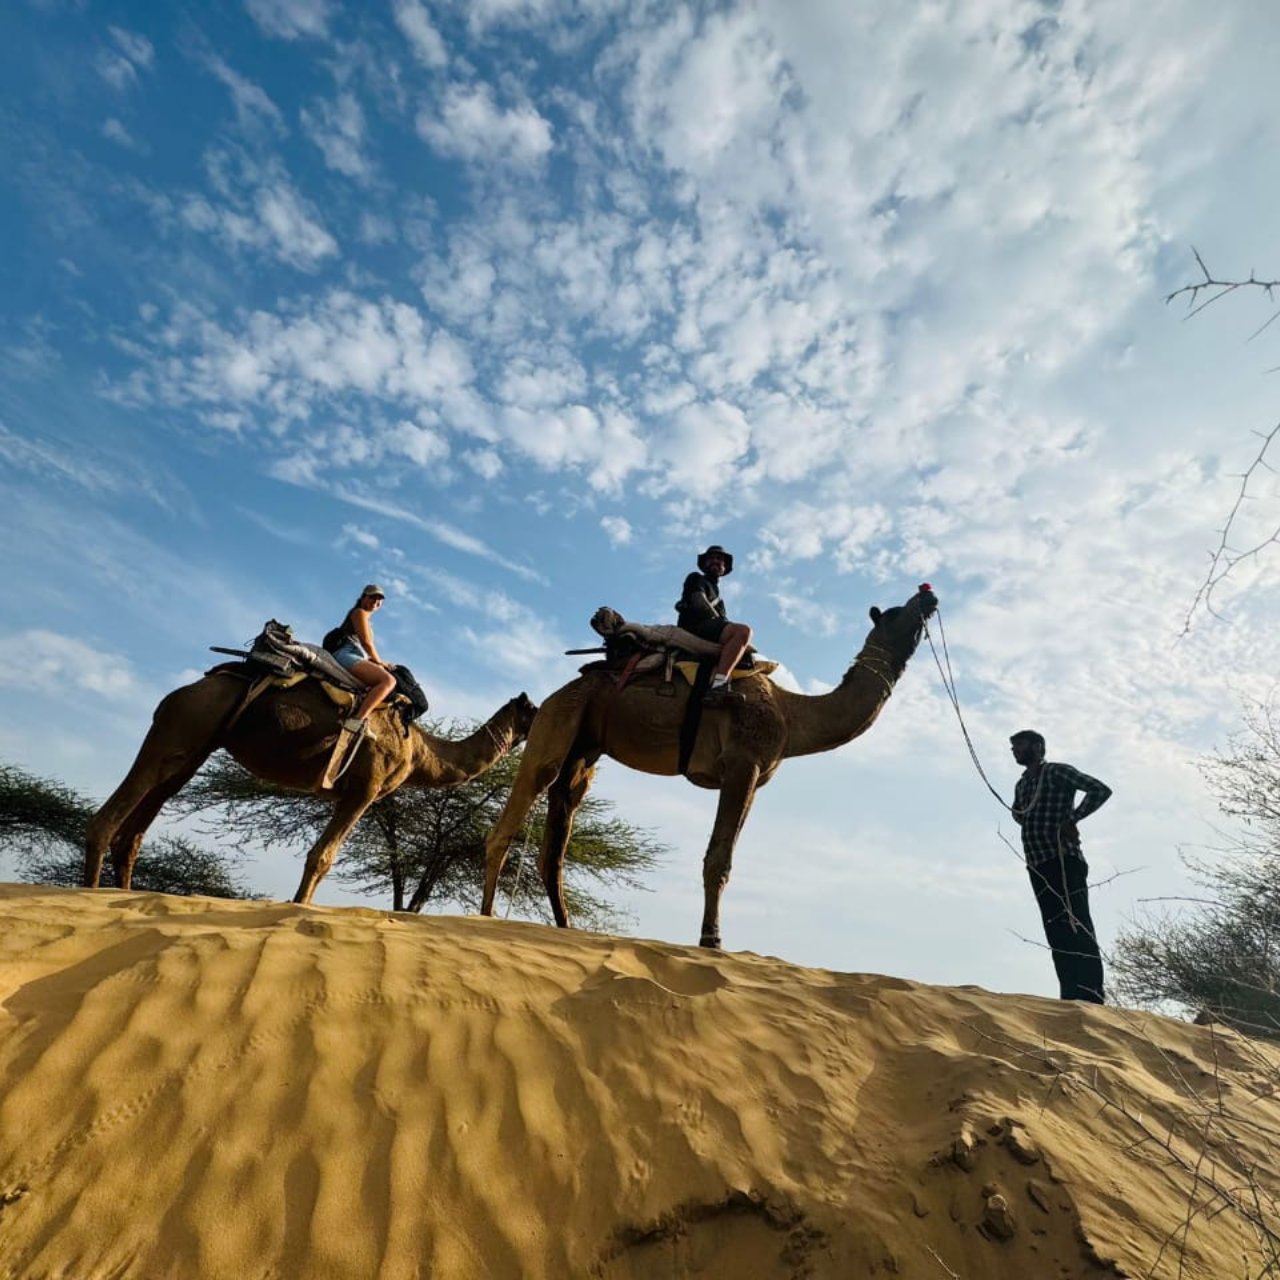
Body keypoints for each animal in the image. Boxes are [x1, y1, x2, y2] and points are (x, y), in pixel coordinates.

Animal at [85, 670, 538, 904]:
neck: (420, 751)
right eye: (535, 710)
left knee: (136, 830)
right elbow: (321, 858)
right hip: (181, 723)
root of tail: (182, 691)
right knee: (107, 819)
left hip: (195, 748)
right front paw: (297, 910)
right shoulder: (365, 789)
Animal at [480, 584, 938, 948]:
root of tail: (559, 690)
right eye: (897, 612)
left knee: (557, 838)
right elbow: (718, 859)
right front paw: (711, 940)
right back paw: (485, 919)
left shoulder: (753, 776)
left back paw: (566, 928)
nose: (928, 594)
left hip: (584, 748)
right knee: (516, 810)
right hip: (558, 718)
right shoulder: (741, 763)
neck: (792, 715)